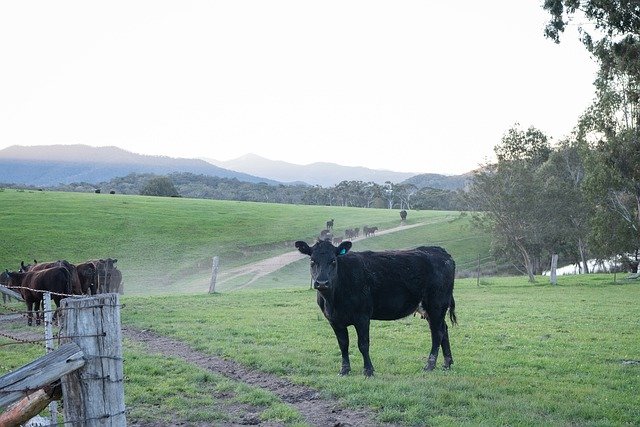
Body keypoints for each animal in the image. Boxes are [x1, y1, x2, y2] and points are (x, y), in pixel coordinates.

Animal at [296, 241, 456, 378]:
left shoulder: (362, 316)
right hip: (431, 309)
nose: (322, 283)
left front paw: (368, 371)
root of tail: (440, 252)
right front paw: (344, 370)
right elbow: (343, 344)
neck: (333, 300)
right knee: (444, 329)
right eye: (312, 261)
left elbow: (363, 344)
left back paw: (430, 365)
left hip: (437, 304)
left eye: (333, 261)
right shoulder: (334, 320)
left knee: (437, 333)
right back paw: (447, 364)